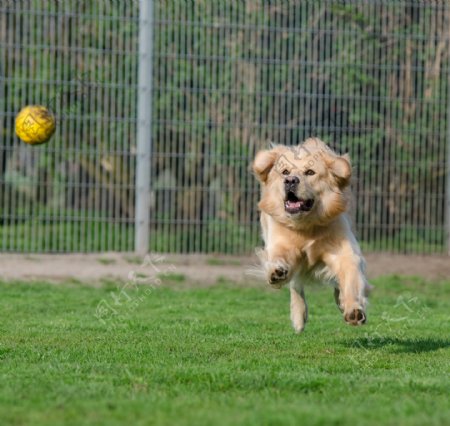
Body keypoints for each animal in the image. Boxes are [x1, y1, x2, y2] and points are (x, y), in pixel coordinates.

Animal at [253, 138, 370, 334]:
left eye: (310, 172)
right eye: (285, 172)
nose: (290, 181)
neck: (306, 225)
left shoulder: (344, 251)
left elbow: (350, 277)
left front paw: (353, 309)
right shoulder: (279, 242)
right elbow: (279, 261)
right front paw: (276, 272)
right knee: (295, 284)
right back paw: (298, 316)